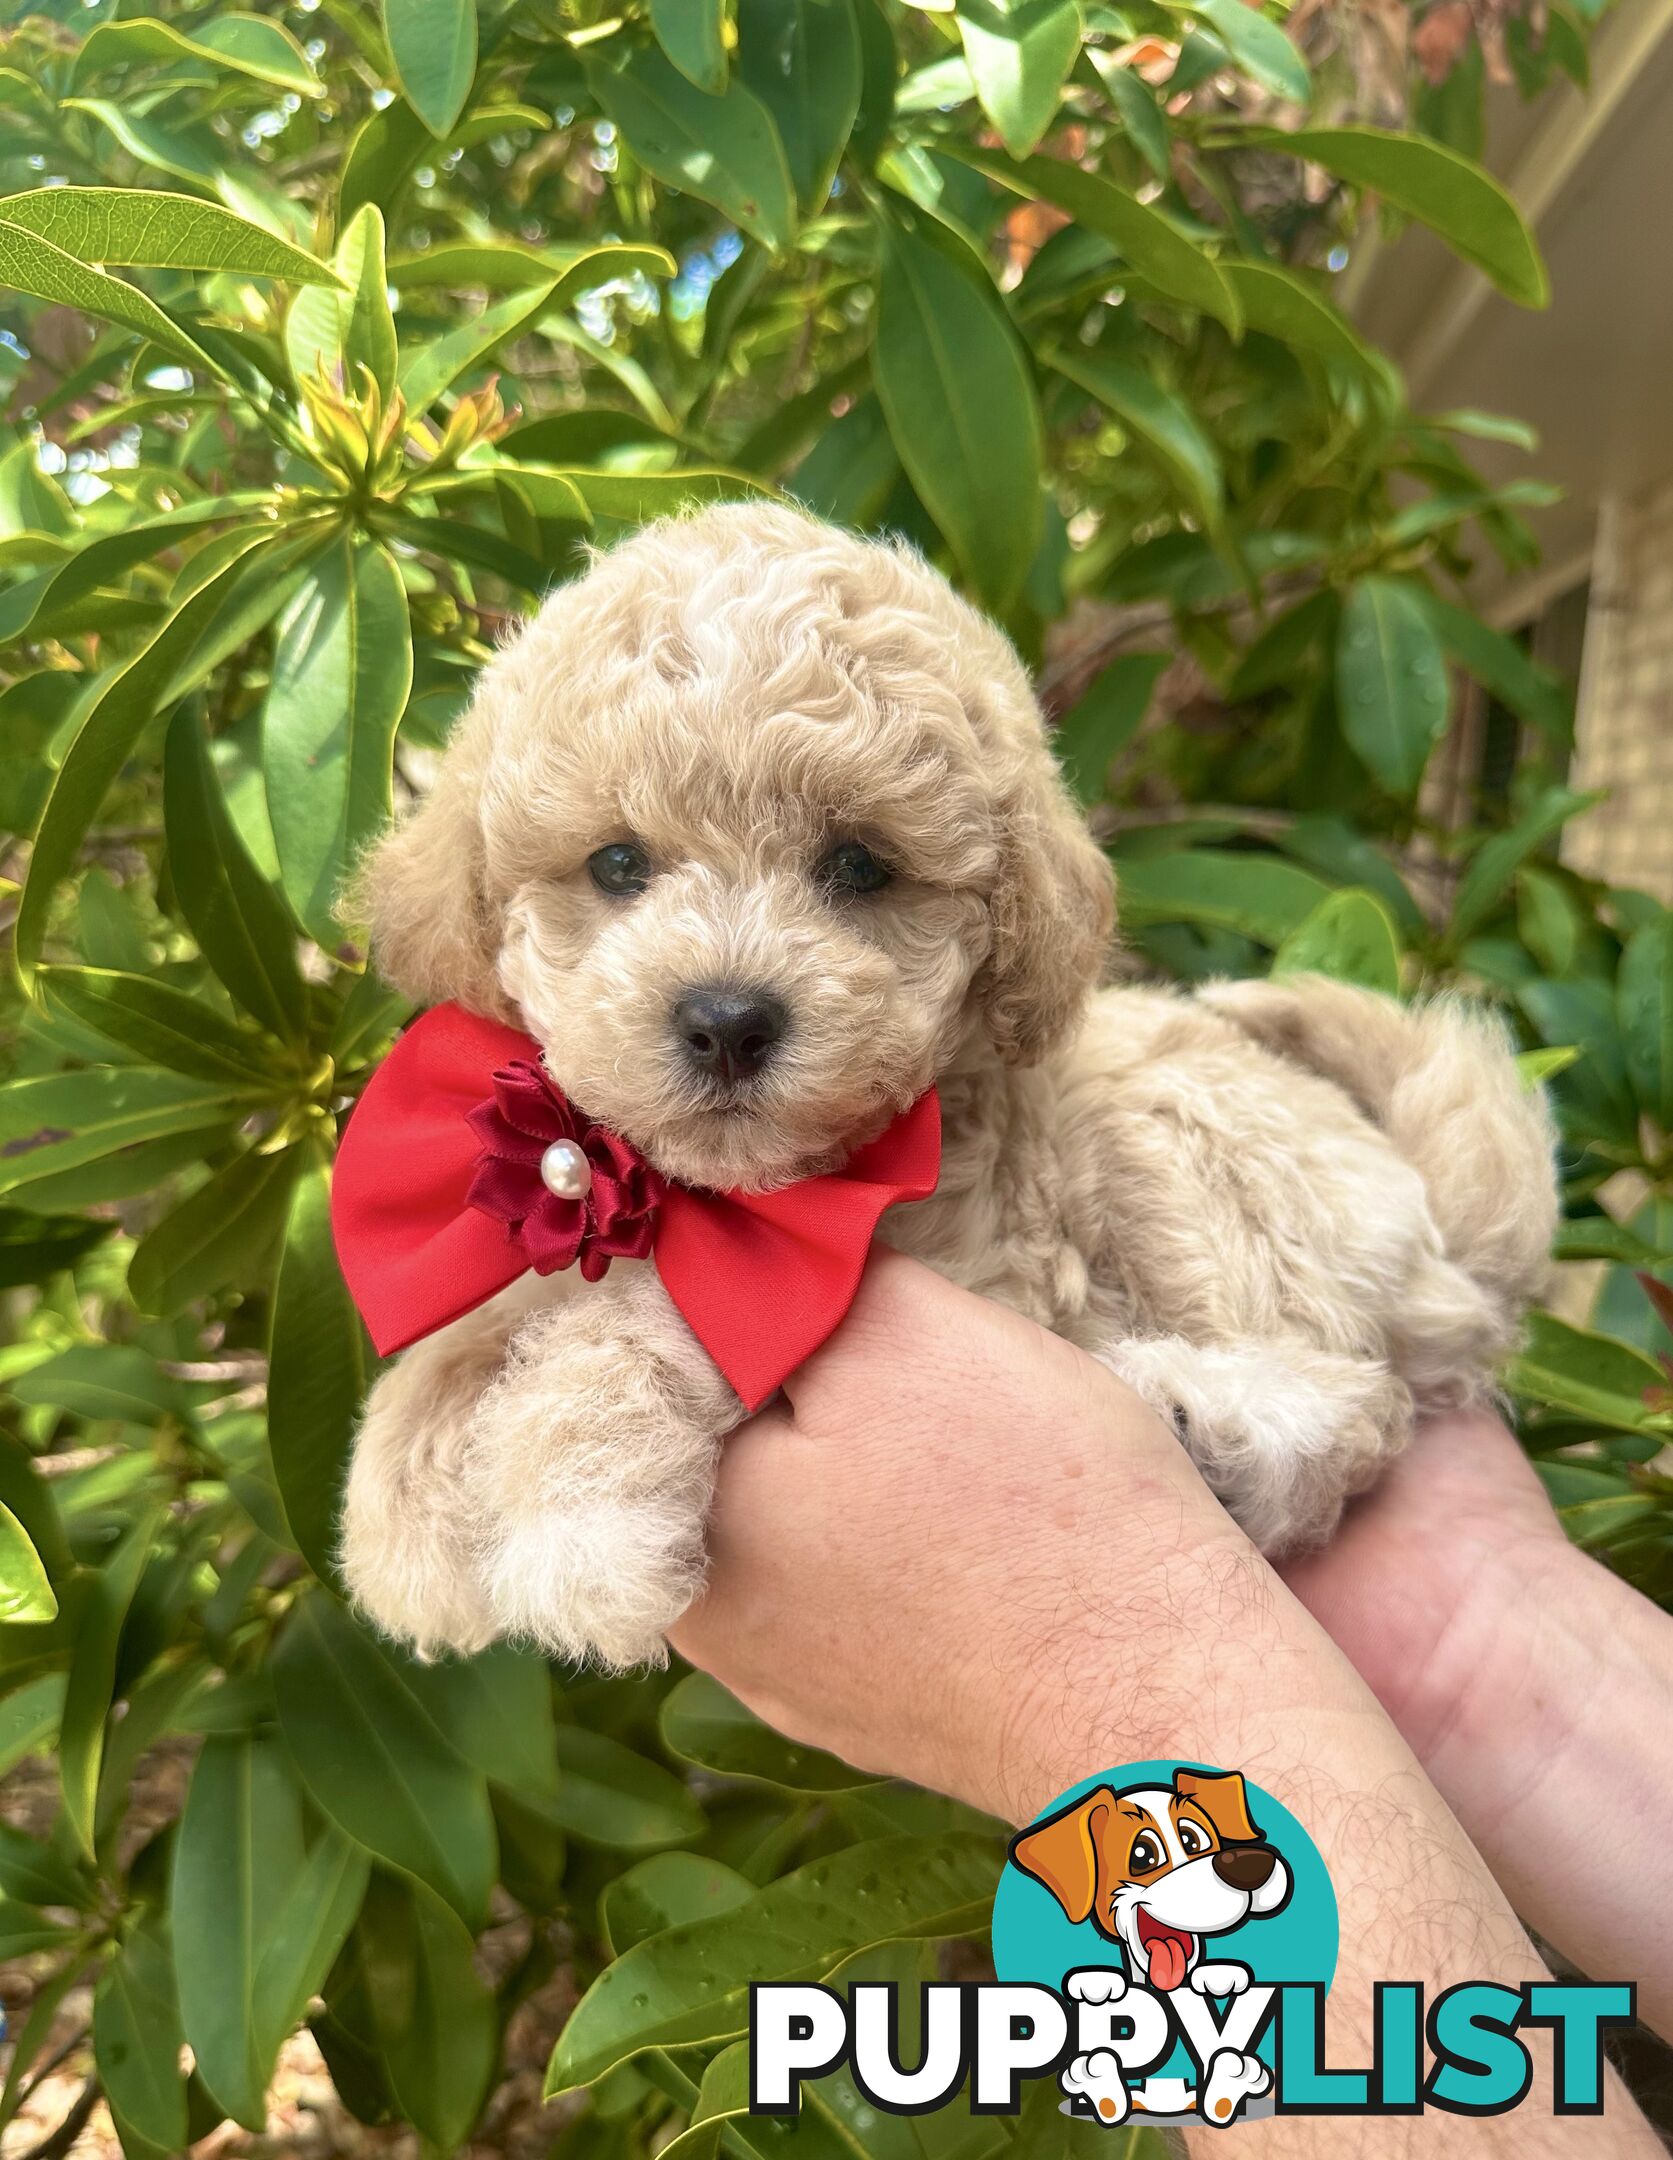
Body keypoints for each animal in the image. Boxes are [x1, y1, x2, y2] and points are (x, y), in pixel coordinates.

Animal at [336, 496, 1554, 1658]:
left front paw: (577, 1526)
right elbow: (476, 1337)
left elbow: (639, 1311)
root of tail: (1443, 1225)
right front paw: (408, 1505)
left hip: (1190, 1154)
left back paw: (1202, 1420)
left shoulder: (956, 1261)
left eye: (859, 865)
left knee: (1362, 1403)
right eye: (618, 864)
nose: (727, 1021)